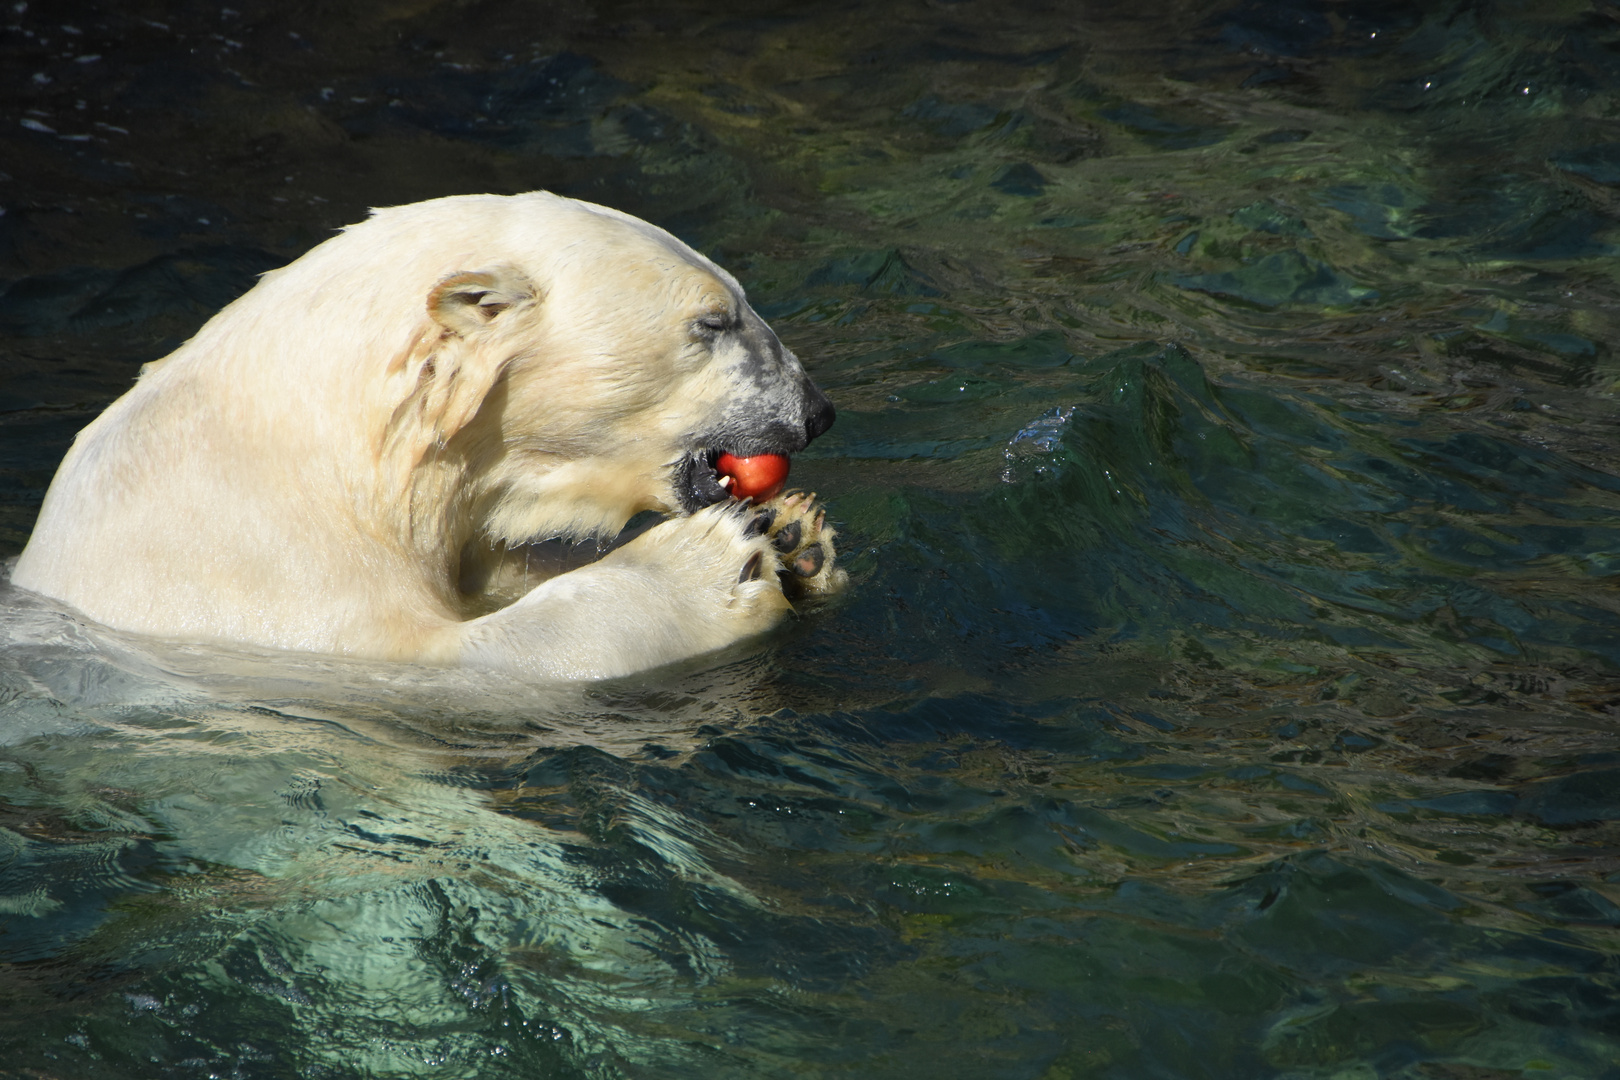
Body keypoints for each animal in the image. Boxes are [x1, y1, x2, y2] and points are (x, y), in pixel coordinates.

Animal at [12, 191, 848, 680]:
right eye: (713, 321)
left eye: (735, 302)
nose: (815, 410)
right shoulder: (267, 591)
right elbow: (477, 654)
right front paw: (712, 561)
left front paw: (798, 536)